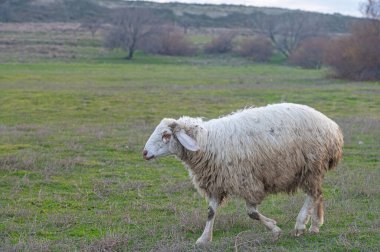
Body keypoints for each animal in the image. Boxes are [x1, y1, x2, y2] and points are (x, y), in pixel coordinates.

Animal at [142, 102, 344, 244]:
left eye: (166, 135)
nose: (144, 153)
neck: (207, 142)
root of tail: (333, 128)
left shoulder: (249, 182)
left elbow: (252, 213)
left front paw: (274, 228)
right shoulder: (216, 183)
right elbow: (210, 212)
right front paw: (204, 238)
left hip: (312, 166)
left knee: (312, 194)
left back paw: (300, 225)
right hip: (313, 170)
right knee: (318, 194)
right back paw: (315, 226)